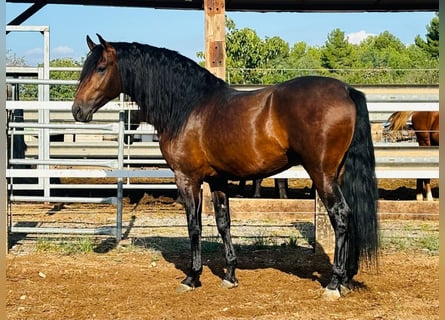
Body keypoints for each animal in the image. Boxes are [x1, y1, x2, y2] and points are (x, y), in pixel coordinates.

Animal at [71, 34, 376, 298]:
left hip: (322, 175)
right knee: (351, 216)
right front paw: (230, 274)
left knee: (341, 216)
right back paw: (347, 278)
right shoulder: (217, 180)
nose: (77, 110)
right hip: (337, 173)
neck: (189, 107)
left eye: (100, 68)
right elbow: (223, 222)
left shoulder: (187, 179)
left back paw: (334, 283)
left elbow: (194, 226)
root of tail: (346, 90)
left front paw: (192, 277)